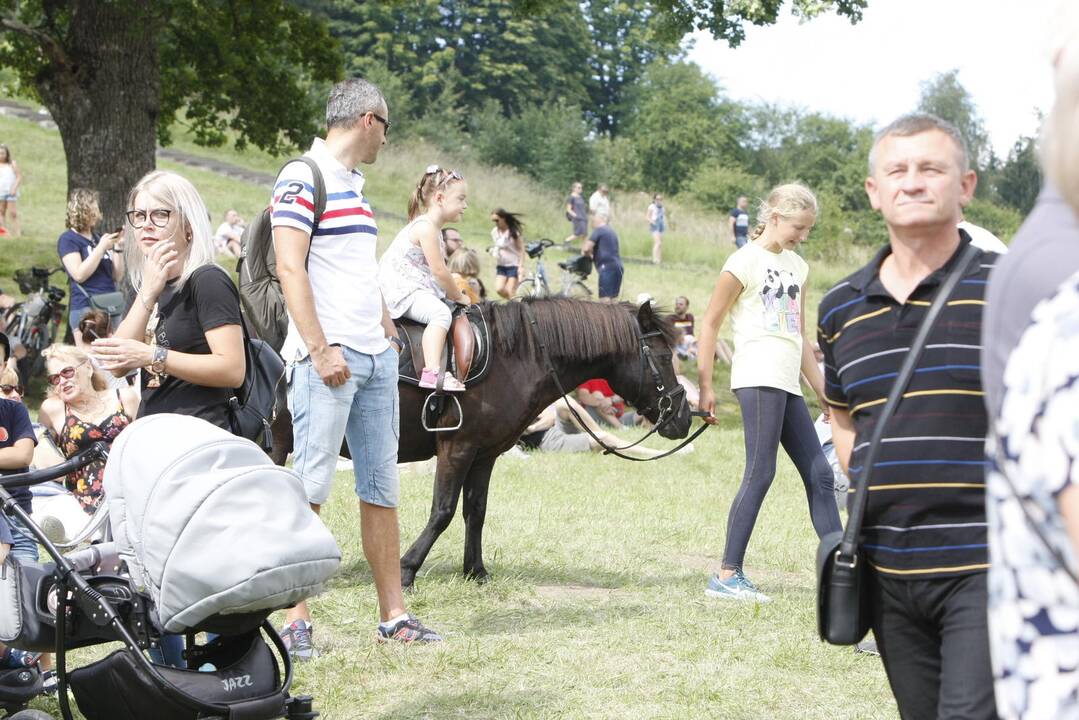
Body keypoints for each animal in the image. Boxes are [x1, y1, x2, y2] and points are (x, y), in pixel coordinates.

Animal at [271, 297, 690, 587]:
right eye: (663, 356)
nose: (684, 417)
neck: (512, 359)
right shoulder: (456, 450)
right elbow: (442, 511)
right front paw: (407, 567)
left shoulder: (485, 454)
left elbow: (476, 510)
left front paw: (475, 569)